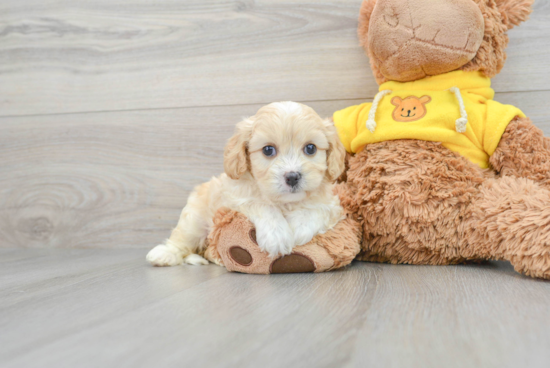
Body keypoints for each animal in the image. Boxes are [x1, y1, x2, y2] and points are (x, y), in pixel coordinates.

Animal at [147, 102, 344, 266]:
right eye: (268, 150)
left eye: (310, 148)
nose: (293, 177)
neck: (284, 202)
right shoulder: (234, 198)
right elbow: (261, 204)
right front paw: (277, 235)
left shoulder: (333, 204)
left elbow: (317, 208)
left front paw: (299, 228)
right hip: (195, 218)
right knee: (182, 239)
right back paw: (164, 255)